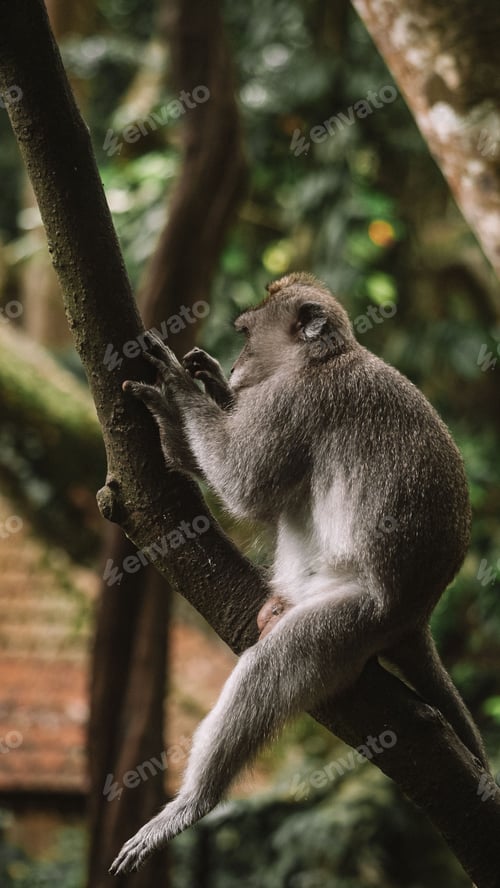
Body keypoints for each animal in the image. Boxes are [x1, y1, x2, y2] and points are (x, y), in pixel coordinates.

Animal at [110, 272, 487, 876]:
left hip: (357, 618)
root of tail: (419, 614)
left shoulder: (296, 403)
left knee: (275, 663)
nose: (237, 364)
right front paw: (211, 386)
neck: (324, 357)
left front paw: (177, 395)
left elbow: (245, 486)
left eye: (246, 334)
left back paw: (194, 803)